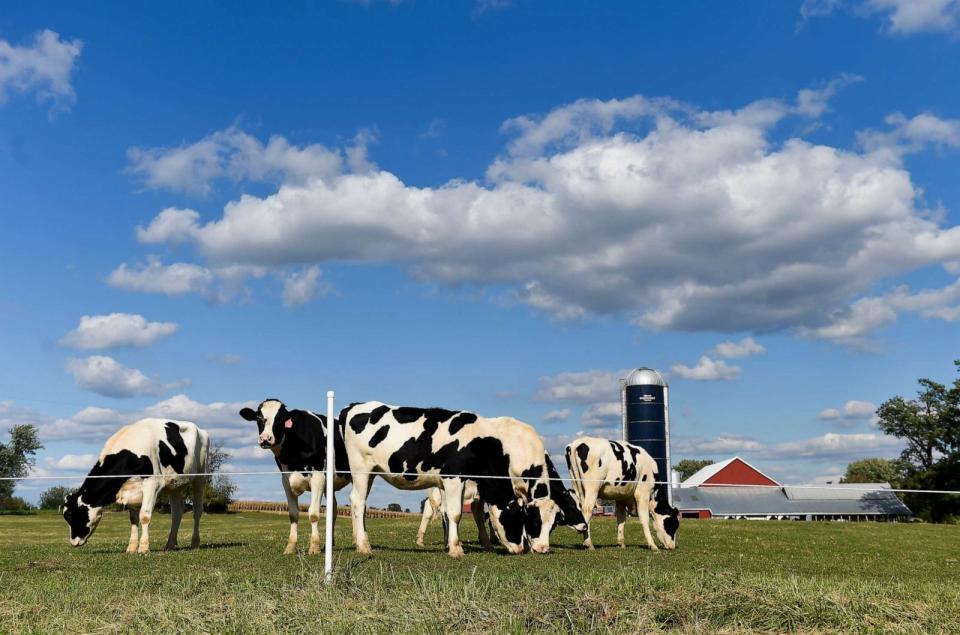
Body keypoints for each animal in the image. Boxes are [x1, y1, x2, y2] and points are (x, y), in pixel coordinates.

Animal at [62, 420, 209, 556]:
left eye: (72, 515)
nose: (73, 542)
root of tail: (200, 429)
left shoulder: (152, 484)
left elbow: (144, 516)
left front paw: (143, 548)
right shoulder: (131, 491)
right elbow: (133, 519)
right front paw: (131, 548)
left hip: (200, 477)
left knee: (197, 511)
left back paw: (194, 543)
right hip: (174, 485)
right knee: (177, 513)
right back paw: (170, 545)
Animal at [239, 400, 350, 556]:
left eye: (280, 419)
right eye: (258, 418)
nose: (265, 438)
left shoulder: (318, 478)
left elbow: (314, 513)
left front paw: (314, 548)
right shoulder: (286, 480)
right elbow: (293, 514)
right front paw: (290, 547)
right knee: (333, 509)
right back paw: (331, 544)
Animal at [342, 402, 560, 556]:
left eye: (554, 525)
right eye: (526, 520)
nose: (524, 549)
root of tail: (353, 406)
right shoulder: (453, 477)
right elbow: (455, 514)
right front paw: (456, 549)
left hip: (370, 472)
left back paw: (358, 540)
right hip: (361, 469)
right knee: (358, 502)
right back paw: (363, 546)